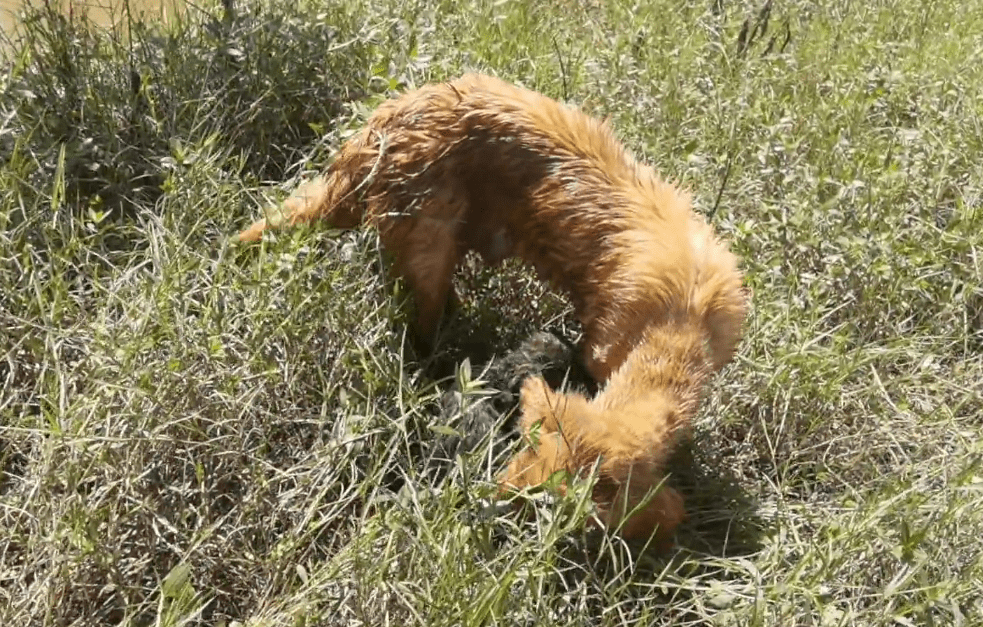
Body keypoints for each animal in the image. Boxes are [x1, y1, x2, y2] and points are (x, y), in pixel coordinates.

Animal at [236, 72, 744, 544]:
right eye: (521, 457)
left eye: (544, 503)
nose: (486, 496)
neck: (680, 321)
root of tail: (375, 130)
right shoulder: (596, 348)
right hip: (425, 252)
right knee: (421, 337)